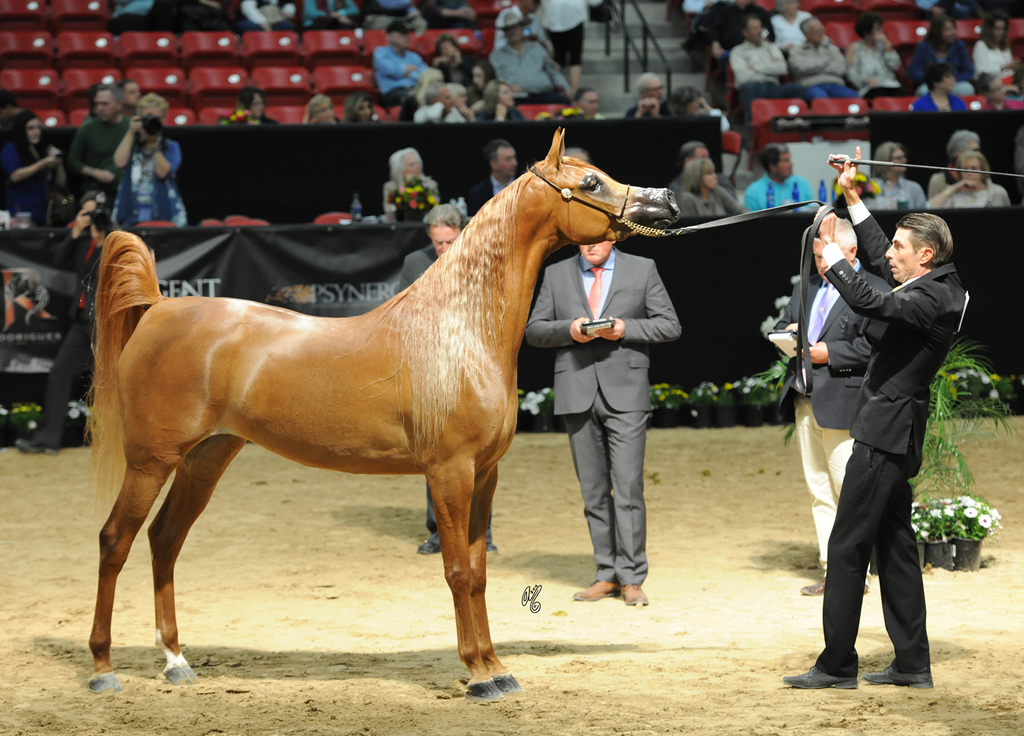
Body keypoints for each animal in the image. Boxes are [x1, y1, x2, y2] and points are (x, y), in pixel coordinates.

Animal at [85, 129, 680, 701]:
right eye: (591, 182)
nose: (668, 200)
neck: (460, 330)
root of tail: (159, 308)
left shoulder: (484, 475)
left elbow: (479, 572)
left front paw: (496, 667)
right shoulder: (449, 473)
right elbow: (457, 571)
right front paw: (477, 675)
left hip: (204, 459)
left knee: (164, 540)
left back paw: (176, 662)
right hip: (150, 462)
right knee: (115, 541)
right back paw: (103, 669)